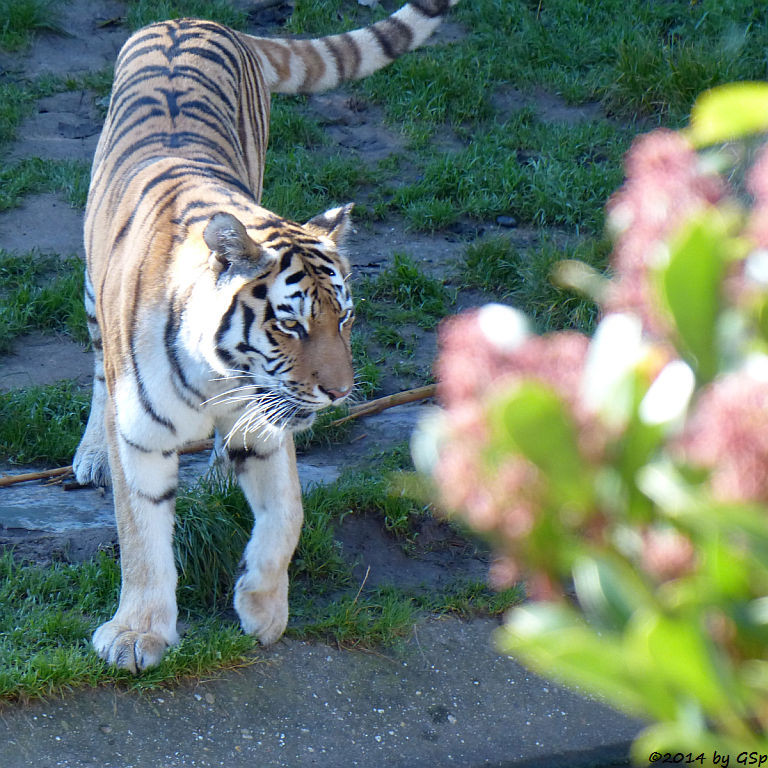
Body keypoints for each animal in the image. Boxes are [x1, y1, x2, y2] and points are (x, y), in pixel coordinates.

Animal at [69, 0, 460, 672]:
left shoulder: (267, 425)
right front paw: (138, 635)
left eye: (344, 319)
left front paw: (263, 609)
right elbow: (142, 537)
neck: (216, 377)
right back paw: (94, 452)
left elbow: (287, 517)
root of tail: (195, 19)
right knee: (97, 370)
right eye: (290, 324)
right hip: (95, 298)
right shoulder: (142, 437)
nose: (340, 393)